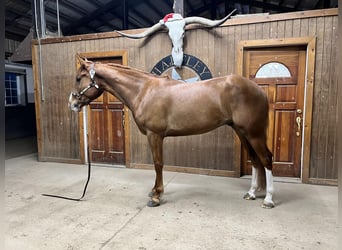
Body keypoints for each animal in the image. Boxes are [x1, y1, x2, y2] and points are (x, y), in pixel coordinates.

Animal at [69, 57, 276, 209]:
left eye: (79, 78)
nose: (72, 104)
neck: (144, 91)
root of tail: (259, 90)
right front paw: (154, 191)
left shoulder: (155, 134)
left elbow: (158, 164)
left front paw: (156, 196)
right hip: (242, 132)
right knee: (255, 161)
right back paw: (251, 194)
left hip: (254, 133)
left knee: (266, 159)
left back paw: (268, 199)